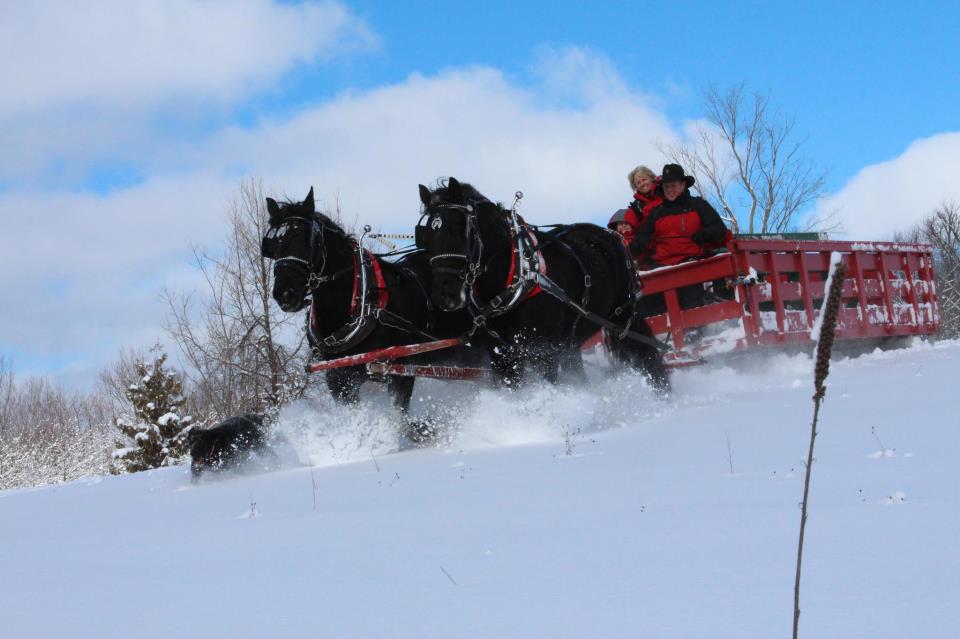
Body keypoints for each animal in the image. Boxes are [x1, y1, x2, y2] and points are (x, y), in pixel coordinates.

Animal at [414, 177, 669, 393]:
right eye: (425, 236)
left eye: (458, 228)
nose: (444, 295)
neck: (514, 274)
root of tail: (612, 235)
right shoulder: (502, 356)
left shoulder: (542, 351)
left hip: (623, 317)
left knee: (647, 355)